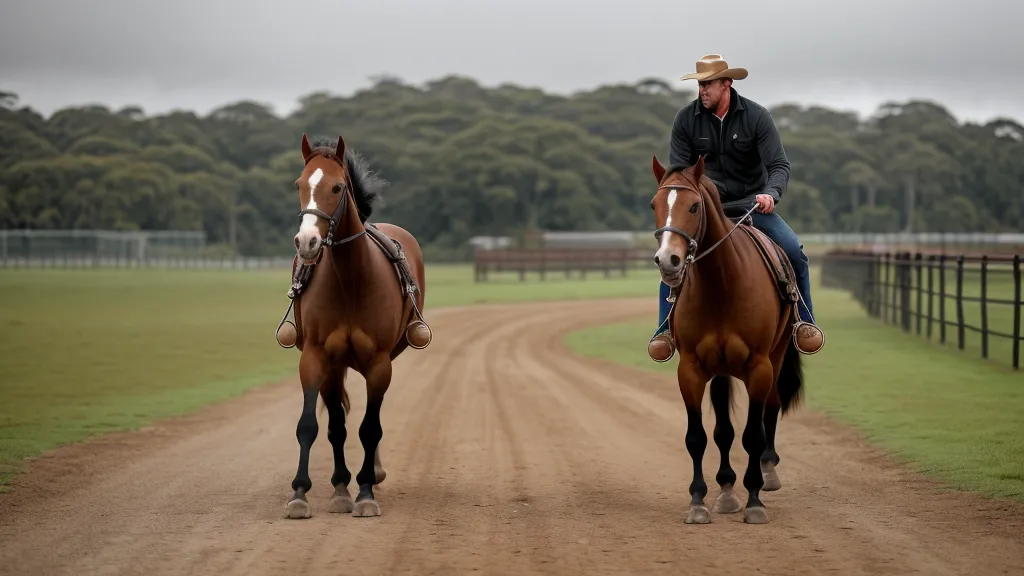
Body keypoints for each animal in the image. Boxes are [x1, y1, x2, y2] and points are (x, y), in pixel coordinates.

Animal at [274, 133, 431, 519]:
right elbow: (314, 426)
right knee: (337, 424)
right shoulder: (316, 358)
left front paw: (365, 492)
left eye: (336, 187)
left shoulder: (379, 362)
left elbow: (370, 428)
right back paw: (340, 484)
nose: (307, 242)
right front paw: (303, 493)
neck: (350, 279)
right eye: (299, 184)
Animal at [649, 154, 806, 525]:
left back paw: (767, 472)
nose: (668, 260)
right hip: (720, 370)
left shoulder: (759, 367)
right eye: (654, 205)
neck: (721, 284)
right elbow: (699, 437)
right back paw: (726, 489)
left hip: (777, 356)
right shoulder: (691, 370)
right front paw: (698, 501)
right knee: (723, 431)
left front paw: (755, 501)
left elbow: (752, 434)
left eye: (693, 206)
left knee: (770, 409)